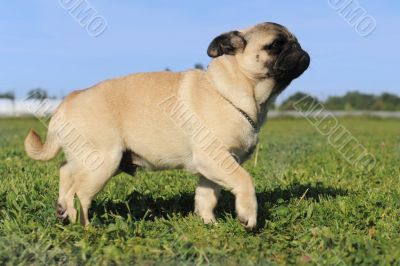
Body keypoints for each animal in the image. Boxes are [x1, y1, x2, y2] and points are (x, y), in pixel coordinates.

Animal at [25, 21, 310, 230]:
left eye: (295, 41)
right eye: (276, 45)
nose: (301, 51)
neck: (233, 88)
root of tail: (68, 100)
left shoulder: (211, 169)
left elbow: (206, 197)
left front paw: (208, 223)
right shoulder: (218, 159)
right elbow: (245, 181)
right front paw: (247, 215)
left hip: (92, 159)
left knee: (66, 172)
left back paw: (64, 213)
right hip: (103, 161)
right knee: (81, 192)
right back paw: (85, 226)